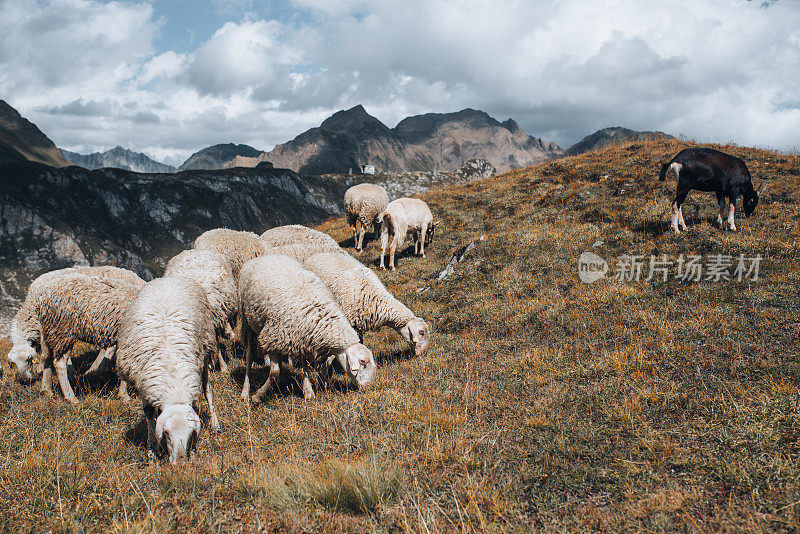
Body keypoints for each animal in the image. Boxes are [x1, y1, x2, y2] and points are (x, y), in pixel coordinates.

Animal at [7, 268, 145, 406]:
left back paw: (50, 389)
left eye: (29, 359)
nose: (25, 380)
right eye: (13, 363)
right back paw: (71, 396)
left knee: (51, 357)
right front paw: (124, 395)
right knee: (58, 361)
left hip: (55, 331)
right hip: (62, 330)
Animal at [116, 278, 222, 466]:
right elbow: (150, 414)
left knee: (208, 389)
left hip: (206, 350)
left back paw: (215, 424)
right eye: (166, 433)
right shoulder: (145, 384)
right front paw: (153, 451)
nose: (179, 464)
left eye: (191, 434)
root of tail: (168, 278)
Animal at [239, 258, 376, 404]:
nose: (369, 387)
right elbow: (274, 372)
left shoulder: (302, 338)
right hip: (246, 321)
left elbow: (304, 366)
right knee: (249, 356)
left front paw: (308, 391)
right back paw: (245, 392)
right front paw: (258, 396)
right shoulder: (271, 336)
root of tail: (266, 257)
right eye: (363, 362)